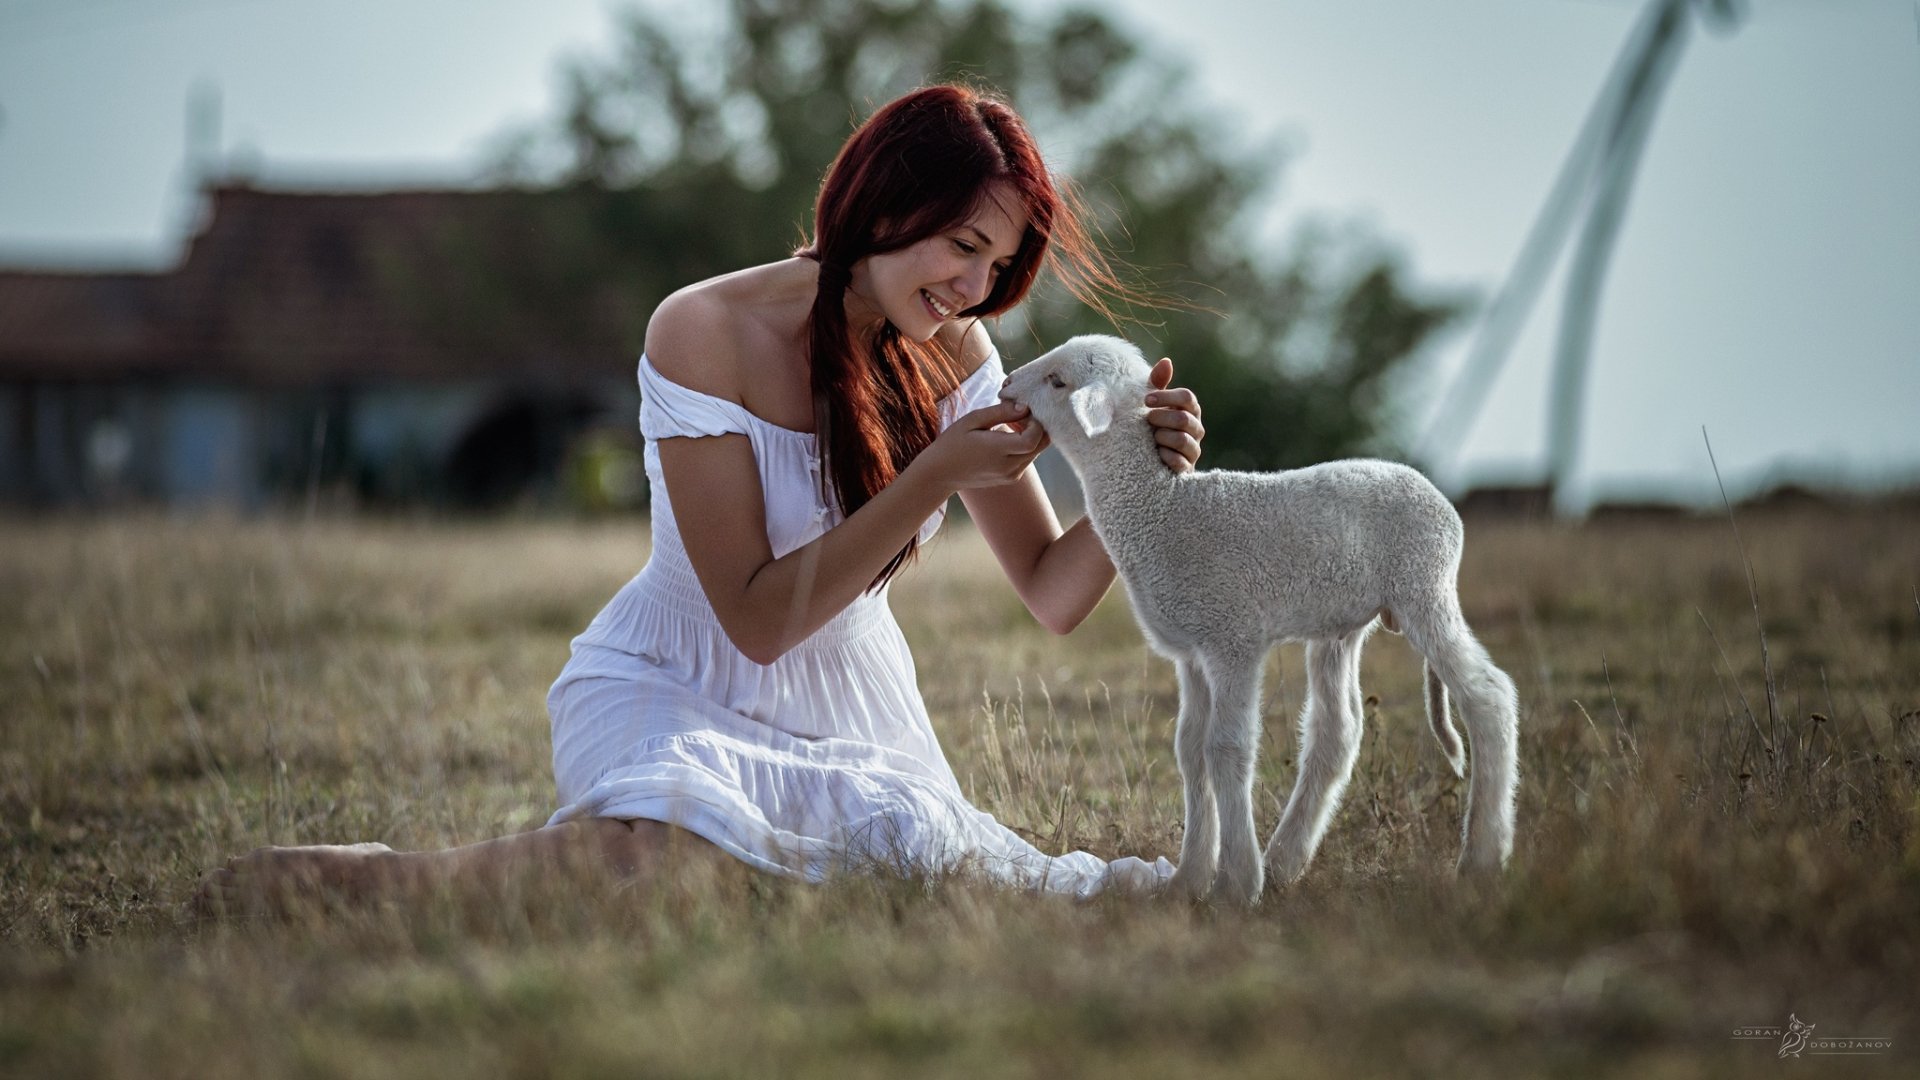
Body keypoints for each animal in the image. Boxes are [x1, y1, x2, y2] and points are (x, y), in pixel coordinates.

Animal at [999, 335, 1519, 905]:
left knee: (1487, 695)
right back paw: (1287, 860)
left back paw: (1481, 858)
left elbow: (1226, 748)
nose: (1005, 384)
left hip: (1424, 586)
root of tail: (1440, 501)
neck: (1160, 511)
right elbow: (1189, 750)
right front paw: (1188, 879)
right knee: (1338, 731)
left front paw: (1235, 885)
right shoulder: (1192, 652)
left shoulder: (1232, 638)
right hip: (1340, 622)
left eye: (1058, 381)